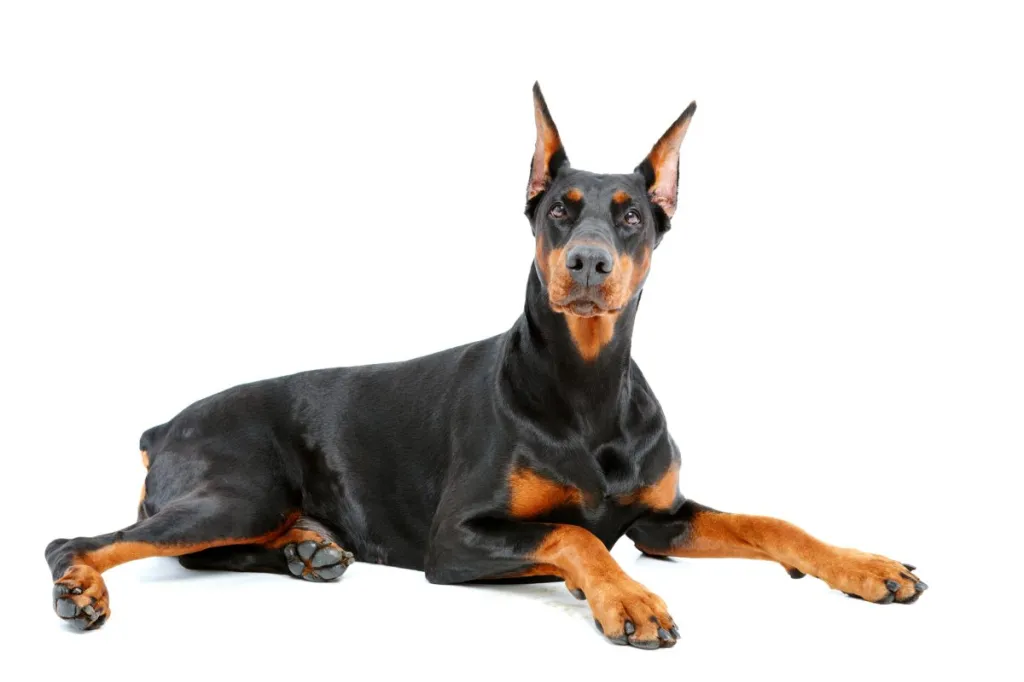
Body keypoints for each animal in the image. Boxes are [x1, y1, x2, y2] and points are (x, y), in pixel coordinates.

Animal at [46, 83, 929, 643]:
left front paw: (868, 567)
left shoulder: (661, 517)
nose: (587, 263)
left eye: (631, 217)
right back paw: (83, 590)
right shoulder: (457, 539)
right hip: (239, 487)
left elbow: (771, 522)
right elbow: (573, 535)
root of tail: (166, 424)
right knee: (81, 542)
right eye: (559, 211)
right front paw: (627, 601)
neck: (587, 389)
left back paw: (309, 553)